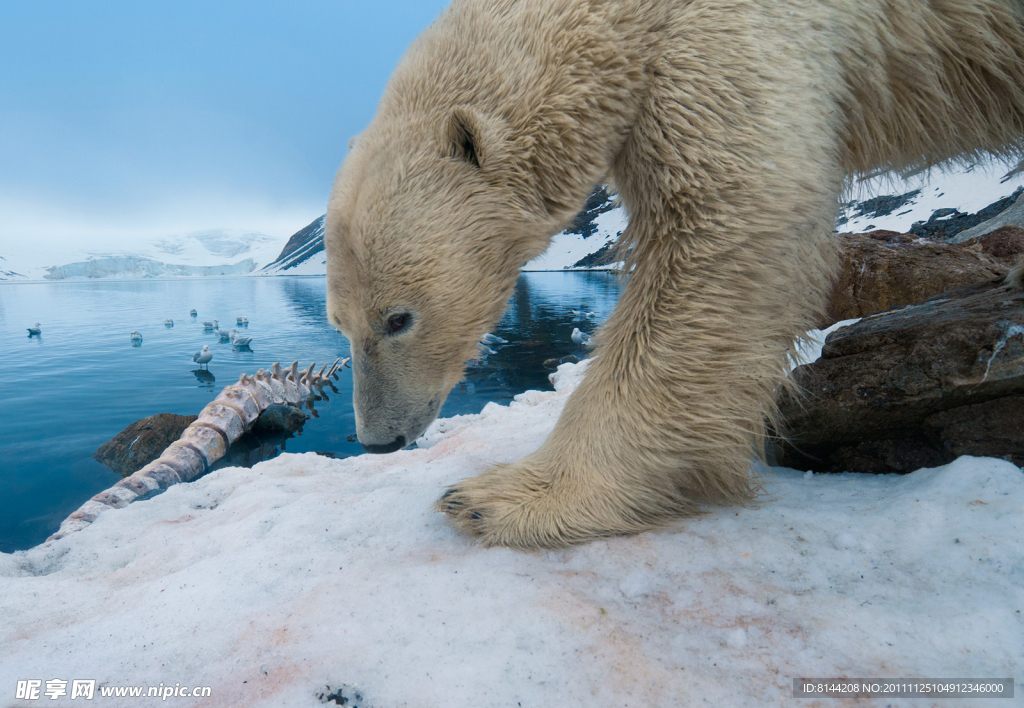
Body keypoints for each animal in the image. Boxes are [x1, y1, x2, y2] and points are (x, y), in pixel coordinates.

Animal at [325, 0, 1024, 549]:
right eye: (341, 324)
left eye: (399, 318)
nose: (378, 442)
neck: (619, 14)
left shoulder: (728, 34)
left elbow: (727, 223)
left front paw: (503, 498)